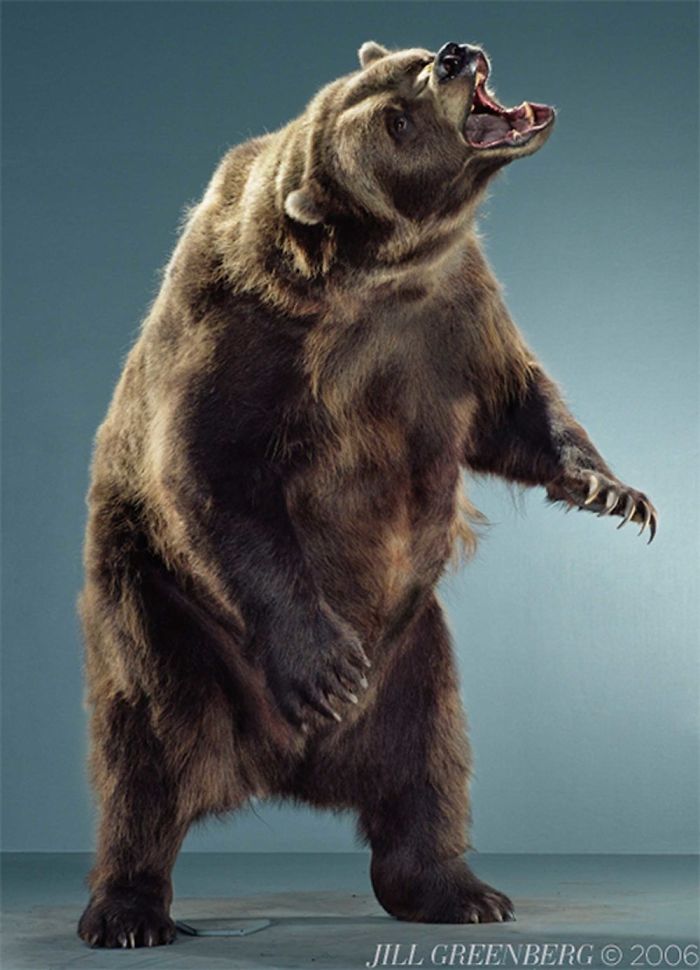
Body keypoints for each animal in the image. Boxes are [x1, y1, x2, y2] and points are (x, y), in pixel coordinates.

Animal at [77, 40, 657, 948]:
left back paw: (458, 889)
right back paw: (128, 908)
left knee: (430, 765)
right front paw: (321, 666)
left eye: (415, 58)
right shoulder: (244, 333)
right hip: (159, 615)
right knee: (147, 752)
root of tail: (279, 762)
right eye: (394, 119)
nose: (454, 54)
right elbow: (210, 467)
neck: (381, 277)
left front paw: (612, 491)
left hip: (416, 657)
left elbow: (518, 404)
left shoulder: (453, 322)